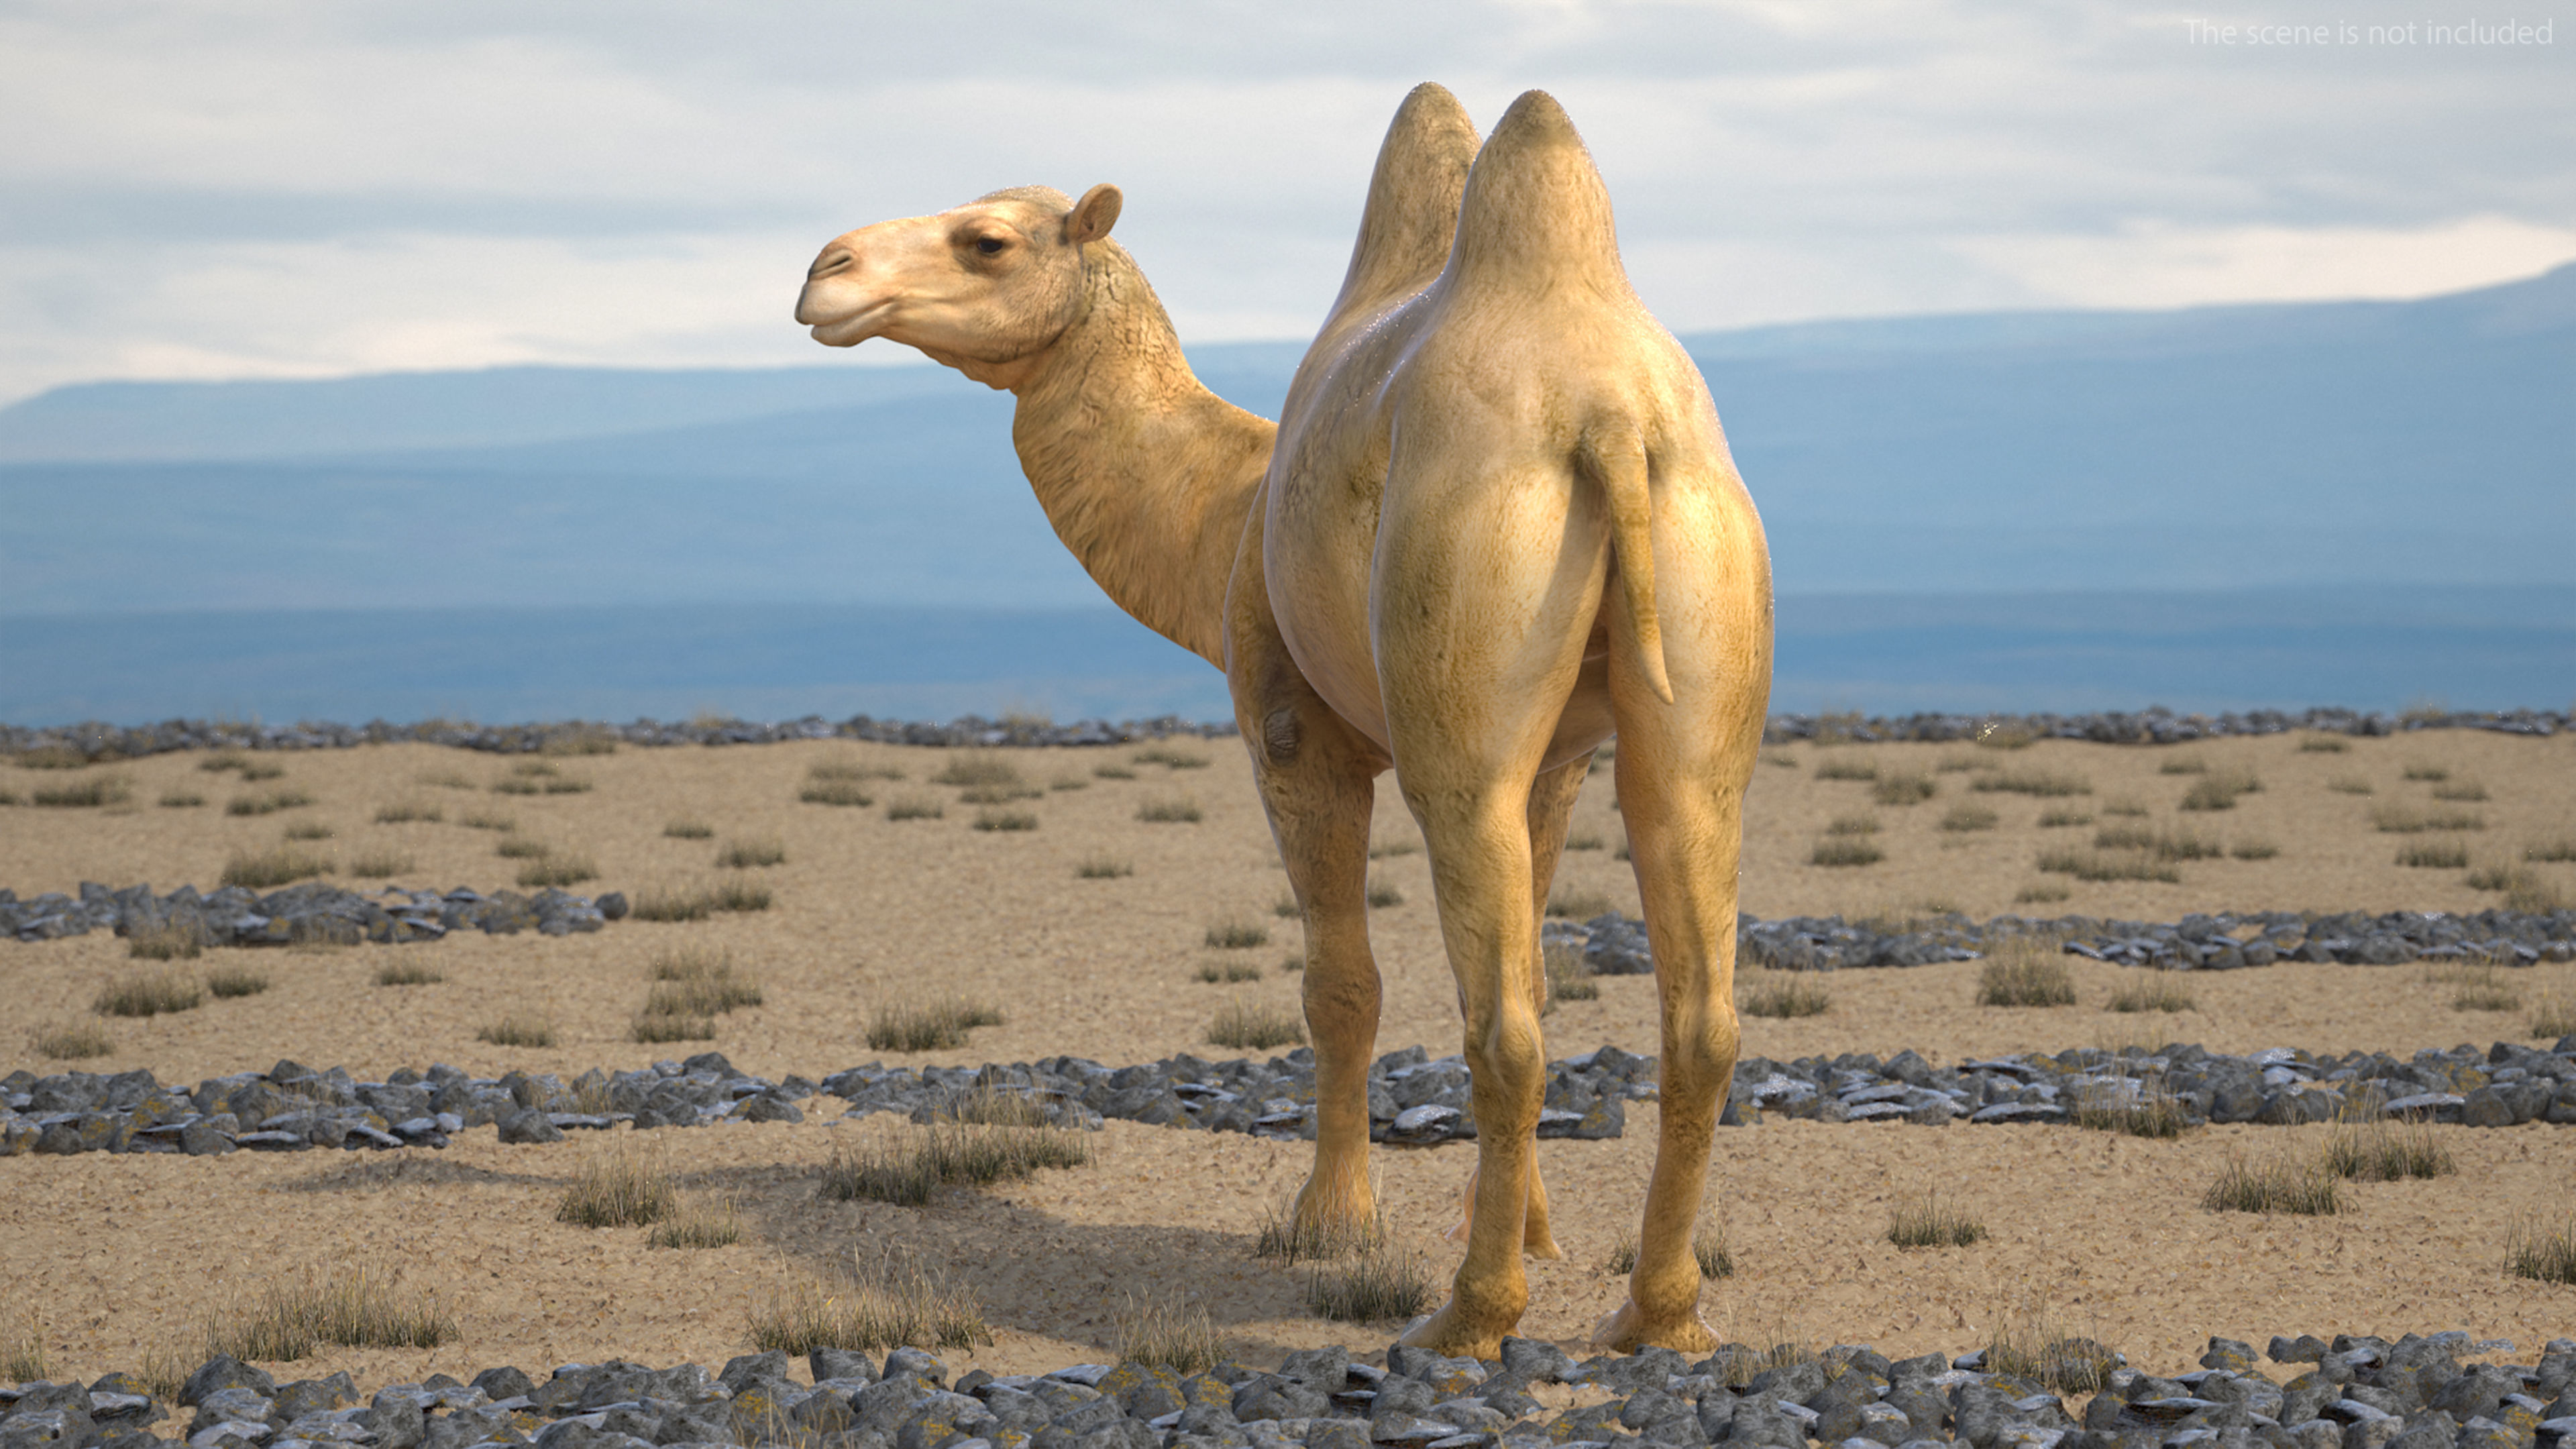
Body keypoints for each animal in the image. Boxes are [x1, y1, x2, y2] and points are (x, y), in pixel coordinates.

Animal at [793, 84, 1772, 1358]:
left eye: (988, 241)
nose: (825, 270)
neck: (1230, 503)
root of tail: (1606, 414)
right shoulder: (1556, 763)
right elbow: (1542, 970)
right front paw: (1536, 1229)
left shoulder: (1289, 726)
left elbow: (1341, 989)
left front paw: (1332, 1226)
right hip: (1701, 654)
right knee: (1695, 1008)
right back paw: (1657, 1318)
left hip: (1458, 680)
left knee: (1498, 1022)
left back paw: (1468, 1319)